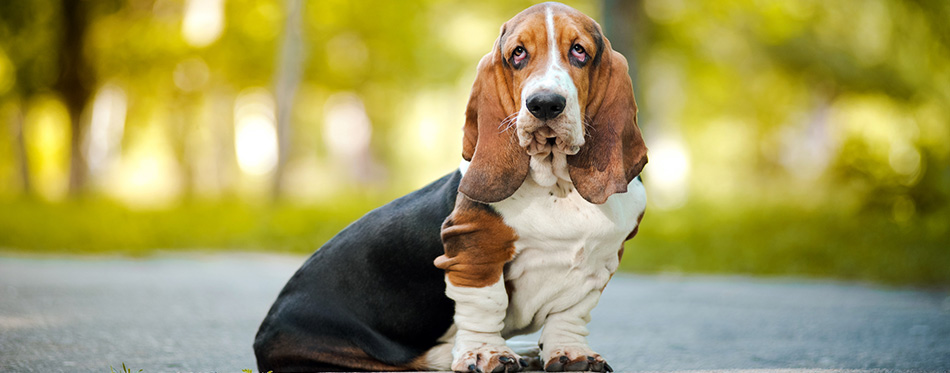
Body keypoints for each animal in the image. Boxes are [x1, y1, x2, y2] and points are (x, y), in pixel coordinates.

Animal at [256, 2, 652, 370]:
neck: (557, 185)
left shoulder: (599, 262)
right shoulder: (474, 253)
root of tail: (262, 338)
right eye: (518, 54)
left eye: (579, 51)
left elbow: (570, 315)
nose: (544, 104)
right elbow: (487, 305)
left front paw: (571, 354)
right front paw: (485, 354)